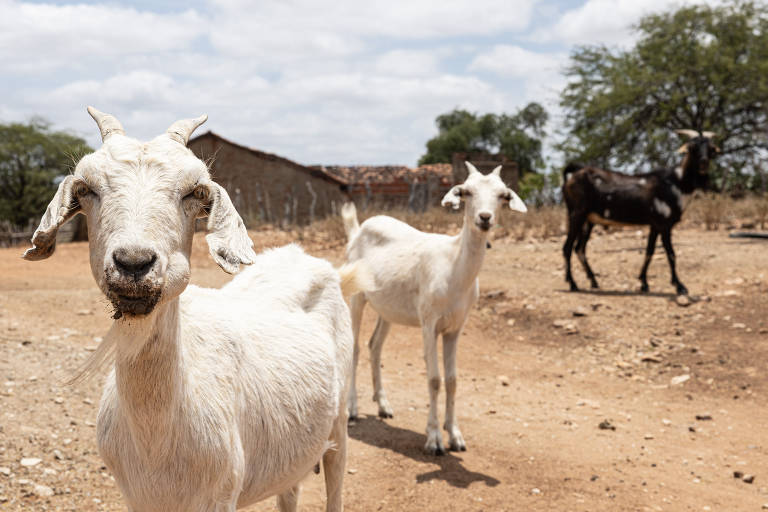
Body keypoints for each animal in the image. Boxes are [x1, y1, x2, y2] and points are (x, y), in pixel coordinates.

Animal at [22, 106, 358, 510]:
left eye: (194, 191)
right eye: (86, 189)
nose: (134, 262)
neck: (157, 444)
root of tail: (300, 256)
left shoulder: (221, 494)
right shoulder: (137, 497)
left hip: (338, 422)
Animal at [342, 162, 528, 454]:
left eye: (503, 195)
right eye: (466, 192)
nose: (485, 218)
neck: (453, 266)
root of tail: (358, 230)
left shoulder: (455, 327)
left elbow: (452, 380)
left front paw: (456, 435)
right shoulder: (429, 323)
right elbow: (434, 379)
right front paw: (434, 438)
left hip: (388, 307)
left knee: (375, 346)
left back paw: (383, 405)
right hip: (357, 297)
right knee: (357, 347)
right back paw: (352, 409)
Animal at [560, 129, 716, 296]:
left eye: (711, 148)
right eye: (692, 147)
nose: (704, 163)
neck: (675, 183)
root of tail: (573, 175)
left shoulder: (655, 225)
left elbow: (650, 251)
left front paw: (644, 283)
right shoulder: (665, 225)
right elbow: (671, 254)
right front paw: (680, 286)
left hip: (588, 221)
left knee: (579, 249)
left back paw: (594, 282)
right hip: (576, 214)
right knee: (567, 248)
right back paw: (573, 284)